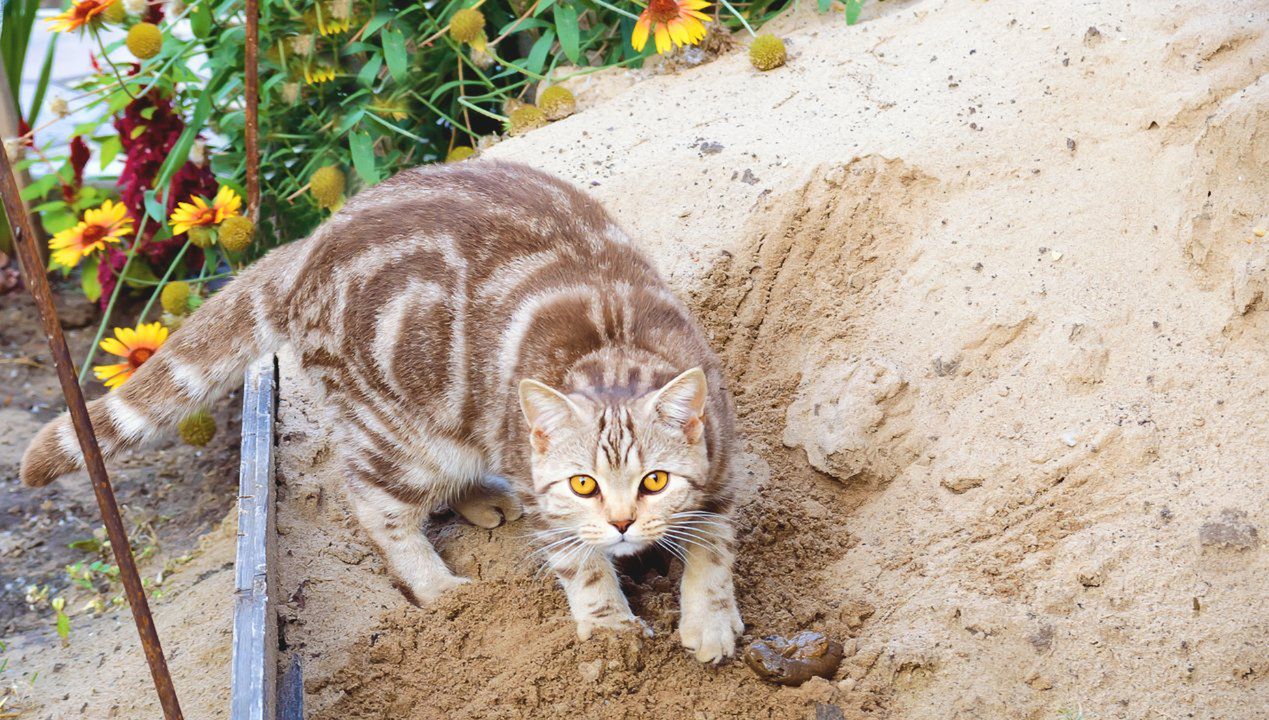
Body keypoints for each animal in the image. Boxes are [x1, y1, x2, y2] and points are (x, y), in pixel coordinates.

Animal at [19, 160, 741, 660]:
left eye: (654, 481)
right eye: (582, 484)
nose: (621, 524)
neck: (610, 346)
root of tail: (304, 247)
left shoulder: (723, 471)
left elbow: (713, 547)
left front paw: (708, 619)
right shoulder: (547, 502)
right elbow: (582, 568)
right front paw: (612, 630)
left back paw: (483, 499)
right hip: (400, 438)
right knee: (375, 505)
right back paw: (441, 589)